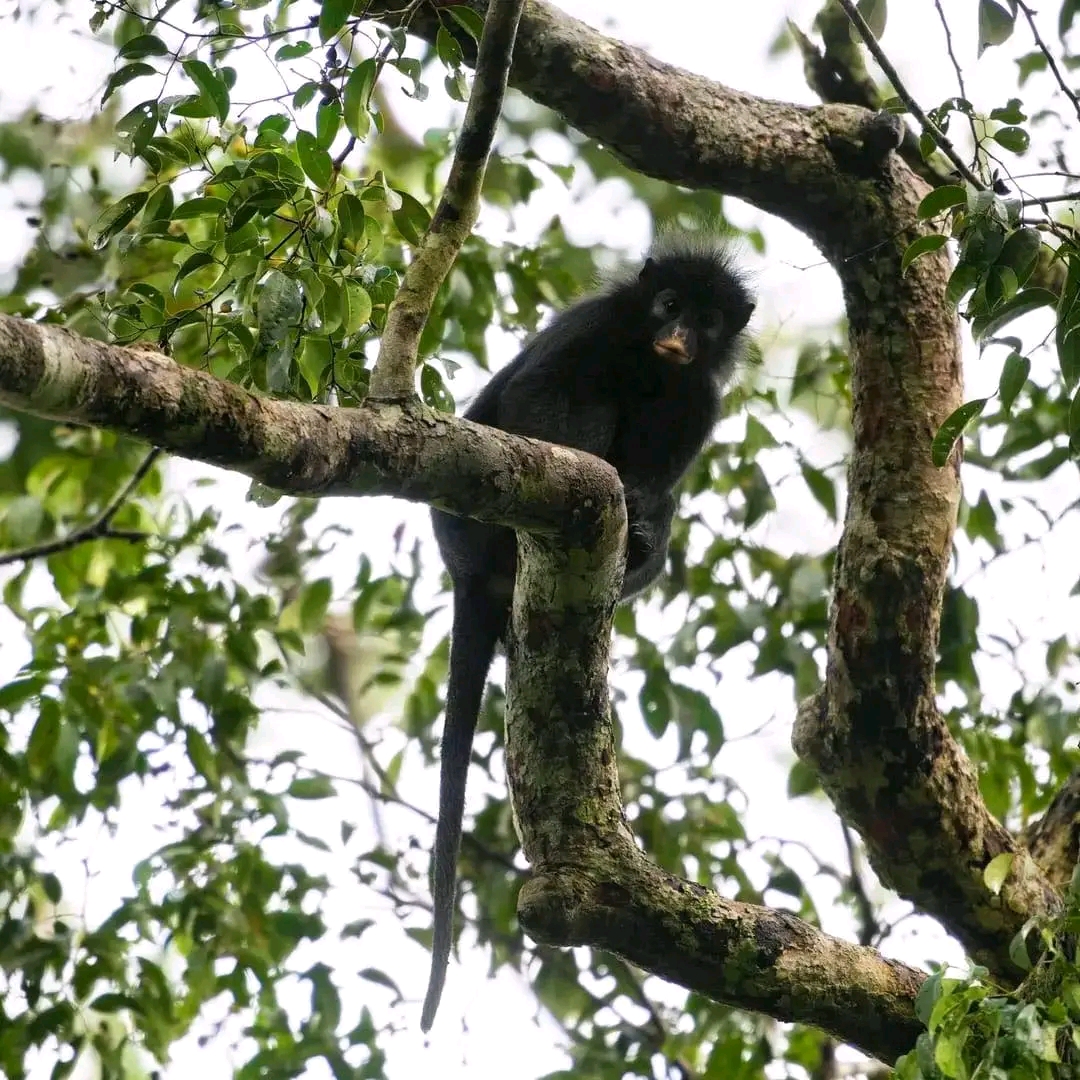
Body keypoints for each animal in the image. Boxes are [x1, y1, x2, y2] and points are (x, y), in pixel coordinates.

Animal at [421, 235, 755, 1032]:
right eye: (669, 304)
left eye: (707, 320)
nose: (678, 334)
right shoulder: (592, 326)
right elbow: (538, 397)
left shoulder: (701, 396)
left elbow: (668, 465)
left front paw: (648, 514)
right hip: (470, 527)